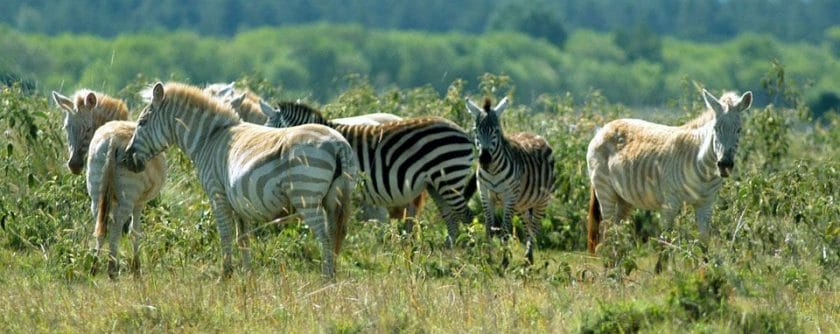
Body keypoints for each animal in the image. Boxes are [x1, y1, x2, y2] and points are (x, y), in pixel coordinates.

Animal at [87, 121, 166, 278]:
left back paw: (94, 268)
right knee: (116, 228)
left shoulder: (113, 201)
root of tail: (112, 140)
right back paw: (112, 271)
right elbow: (134, 232)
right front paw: (136, 269)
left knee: (102, 229)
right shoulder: (139, 203)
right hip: (128, 195)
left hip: (96, 193)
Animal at [125, 82, 358, 278]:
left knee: (324, 235)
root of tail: (338, 144)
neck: (209, 138)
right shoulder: (239, 201)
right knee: (336, 234)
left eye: (142, 123)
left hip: (307, 195)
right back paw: (333, 277)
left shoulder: (217, 194)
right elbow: (243, 239)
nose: (127, 158)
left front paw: (225, 276)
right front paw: (247, 277)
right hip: (335, 197)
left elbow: (225, 235)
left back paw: (326, 278)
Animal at [262, 100, 476, 247]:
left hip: (449, 177)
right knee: (450, 216)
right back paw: (450, 252)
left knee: (465, 215)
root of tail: (462, 131)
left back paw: (472, 253)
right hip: (436, 183)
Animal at [466, 96, 556, 264]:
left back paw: (529, 258)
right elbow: (489, 228)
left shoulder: (509, 197)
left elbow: (505, 230)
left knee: (534, 227)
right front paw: (489, 259)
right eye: (476, 131)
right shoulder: (485, 194)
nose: (485, 159)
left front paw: (504, 262)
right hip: (521, 203)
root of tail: (534, 134)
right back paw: (527, 257)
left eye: (496, 131)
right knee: (527, 225)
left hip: (541, 200)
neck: (492, 171)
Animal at [584, 88, 756, 253]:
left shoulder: (706, 204)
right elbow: (665, 243)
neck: (704, 170)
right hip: (605, 190)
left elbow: (704, 244)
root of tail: (603, 128)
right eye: (715, 129)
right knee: (606, 233)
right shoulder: (670, 202)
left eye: (739, 130)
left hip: (623, 199)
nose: (724, 164)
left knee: (616, 233)